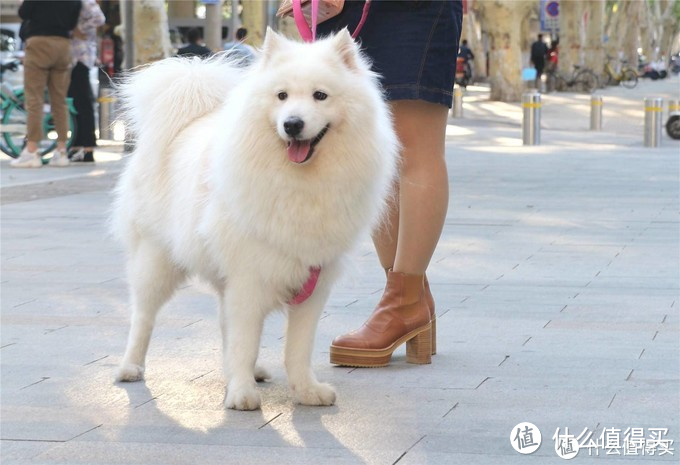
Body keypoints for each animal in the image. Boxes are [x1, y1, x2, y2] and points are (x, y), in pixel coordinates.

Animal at [112, 28, 398, 410]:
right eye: (282, 96)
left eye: (320, 96)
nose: (292, 124)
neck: (300, 183)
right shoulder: (250, 277)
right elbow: (245, 340)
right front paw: (242, 394)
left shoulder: (313, 280)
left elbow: (297, 349)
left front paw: (306, 391)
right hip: (156, 259)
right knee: (142, 316)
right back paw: (130, 367)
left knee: (223, 322)